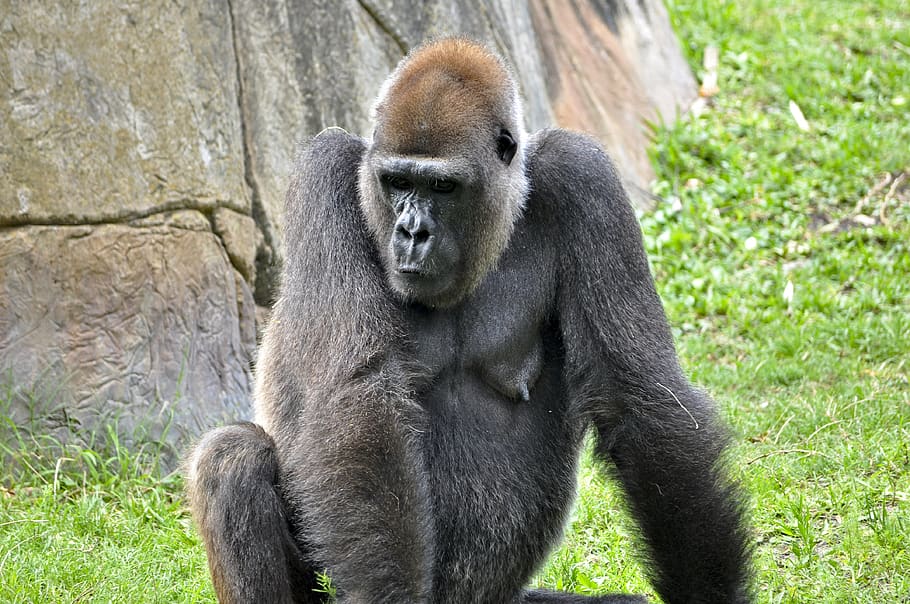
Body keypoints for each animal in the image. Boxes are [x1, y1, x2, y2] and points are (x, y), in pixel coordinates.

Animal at [186, 37, 752, 604]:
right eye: (396, 183)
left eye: (442, 187)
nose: (412, 232)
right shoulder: (325, 171)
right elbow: (357, 393)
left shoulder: (583, 177)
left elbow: (637, 393)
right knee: (233, 457)